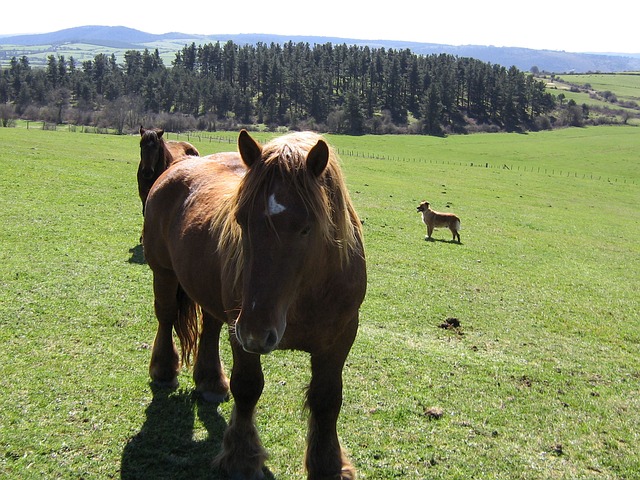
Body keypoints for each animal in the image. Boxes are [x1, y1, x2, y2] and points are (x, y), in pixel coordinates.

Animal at [143, 129, 368, 478]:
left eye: (307, 228)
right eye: (241, 219)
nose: (257, 332)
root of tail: (179, 165)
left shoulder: (340, 338)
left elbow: (327, 399)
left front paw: (328, 464)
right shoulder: (242, 331)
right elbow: (247, 388)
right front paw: (242, 457)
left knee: (209, 328)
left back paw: (210, 381)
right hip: (164, 273)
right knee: (166, 317)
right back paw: (165, 369)